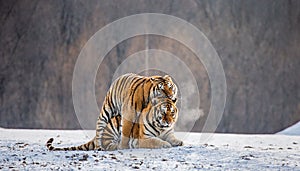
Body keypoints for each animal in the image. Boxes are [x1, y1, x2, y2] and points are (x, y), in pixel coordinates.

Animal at [45, 73, 177, 150]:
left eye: (170, 87)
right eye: (162, 90)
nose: (171, 96)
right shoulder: (129, 114)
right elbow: (127, 132)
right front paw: (124, 146)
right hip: (108, 109)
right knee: (100, 127)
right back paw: (100, 147)